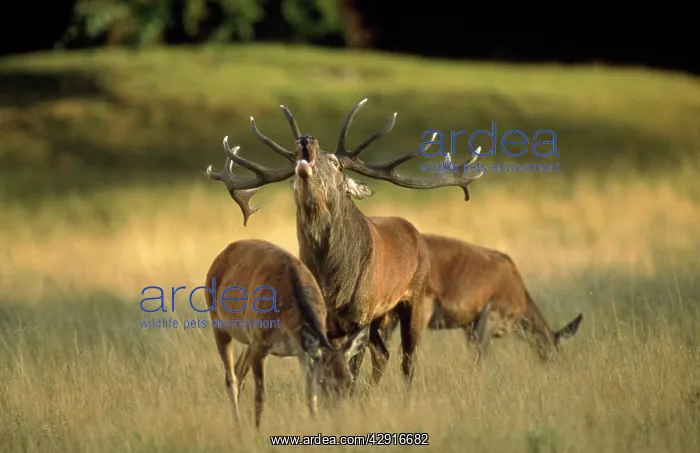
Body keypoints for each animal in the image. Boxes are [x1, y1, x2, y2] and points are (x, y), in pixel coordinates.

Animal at [203, 238, 369, 429]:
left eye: (350, 382)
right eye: (323, 381)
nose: (340, 417)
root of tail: (220, 256)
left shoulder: (302, 352)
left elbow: (310, 398)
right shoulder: (260, 344)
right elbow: (260, 397)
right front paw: (257, 430)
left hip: (248, 338)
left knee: (238, 370)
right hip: (218, 322)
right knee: (231, 378)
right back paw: (238, 427)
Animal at [205, 98, 485, 396]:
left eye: (336, 162)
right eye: (293, 160)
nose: (306, 138)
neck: (333, 283)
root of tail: (414, 232)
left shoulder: (360, 314)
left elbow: (353, 369)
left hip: (414, 296)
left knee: (407, 359)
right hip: (381, 317)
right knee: (382, 354)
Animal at [373, 234, 584, 365]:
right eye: (556, 351)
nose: (558, 367)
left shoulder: (469, 327)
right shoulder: (491, 314)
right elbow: (481, 357)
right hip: (422, 309)